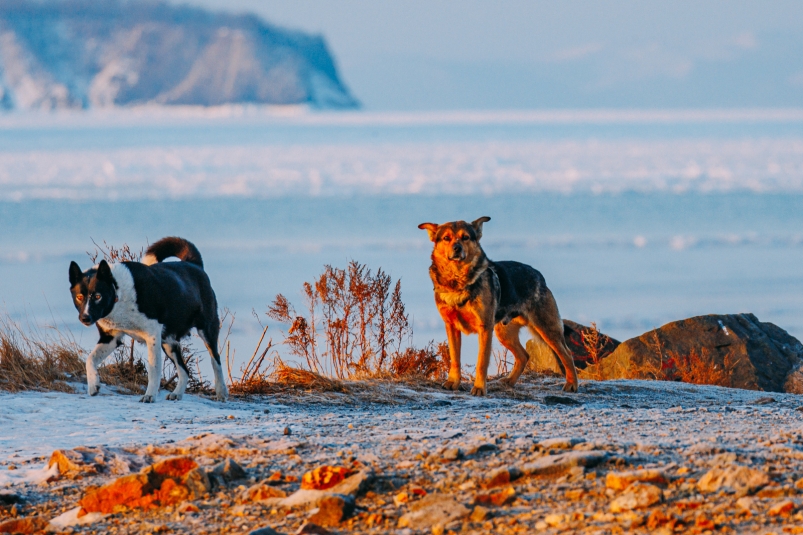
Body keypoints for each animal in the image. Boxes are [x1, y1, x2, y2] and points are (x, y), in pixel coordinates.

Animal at [67, 238, 228, 402]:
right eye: (79, 297)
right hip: (168, 342)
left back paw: (221, 392)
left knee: (216, 360)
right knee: (184, 370)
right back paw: (177, 393)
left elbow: (153, 369)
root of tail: (193, 264)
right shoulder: (110, 338)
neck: (118, 293)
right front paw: (94, 385)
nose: (85, 318)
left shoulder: (152, 335)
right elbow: (90, 359)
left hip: (206, 329)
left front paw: (149, 395)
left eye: (98, 296)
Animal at [420, 216, 576, 396]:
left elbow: (481, 361)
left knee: (567, 354)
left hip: (546, 329)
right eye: (446, 238)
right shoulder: (451, 326)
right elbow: (455, 358)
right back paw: (509, 381)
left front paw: (479, 388)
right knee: (524, 356)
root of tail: (539, 276)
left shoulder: (485, 328)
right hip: (505, 332)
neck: (457, 281)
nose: (457, 248)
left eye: (465, 237)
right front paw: (453, 382)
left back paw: (572, 384)